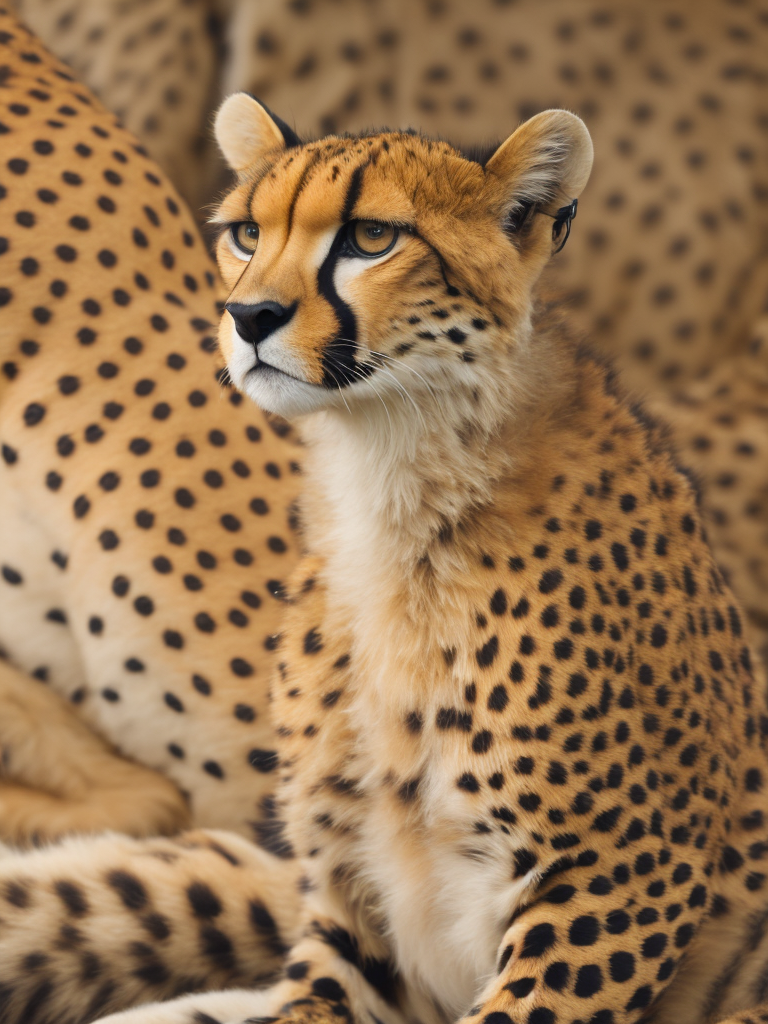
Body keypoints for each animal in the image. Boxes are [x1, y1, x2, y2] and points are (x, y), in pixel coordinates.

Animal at [1, 89, 768, 1024]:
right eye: (246, 233)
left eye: (371, 238)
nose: (248, 317)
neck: (392, 482)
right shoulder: (354, 895)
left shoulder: (622, 881)